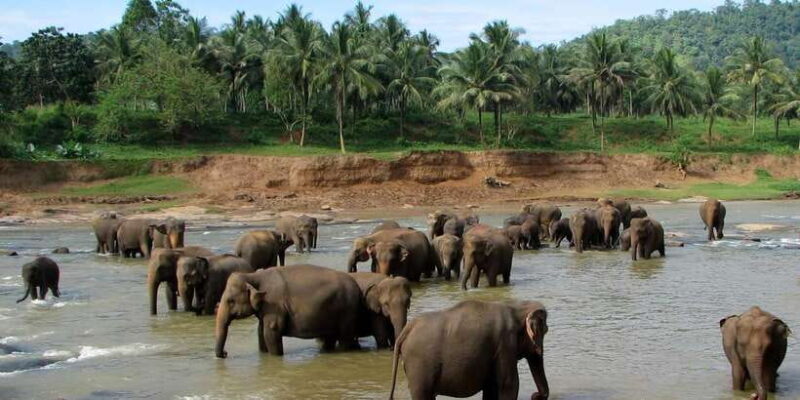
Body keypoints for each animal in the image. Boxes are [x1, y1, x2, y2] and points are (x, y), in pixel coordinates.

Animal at [215, 265, 363, 358]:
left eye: (230, 301)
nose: (225, 353)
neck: (253, 276)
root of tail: (357, 286)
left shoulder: (274, 304)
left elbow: (271, 332)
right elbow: (261, 332)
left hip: (347, 310)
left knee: (344, 338)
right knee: (329, 338)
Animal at [389, 300, 549, 400]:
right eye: (545, 330)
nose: (534, 395)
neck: (516, 306)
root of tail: (406, 329)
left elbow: (491, 388)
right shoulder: (505, 344)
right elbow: (508, 385)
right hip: (419, 366)